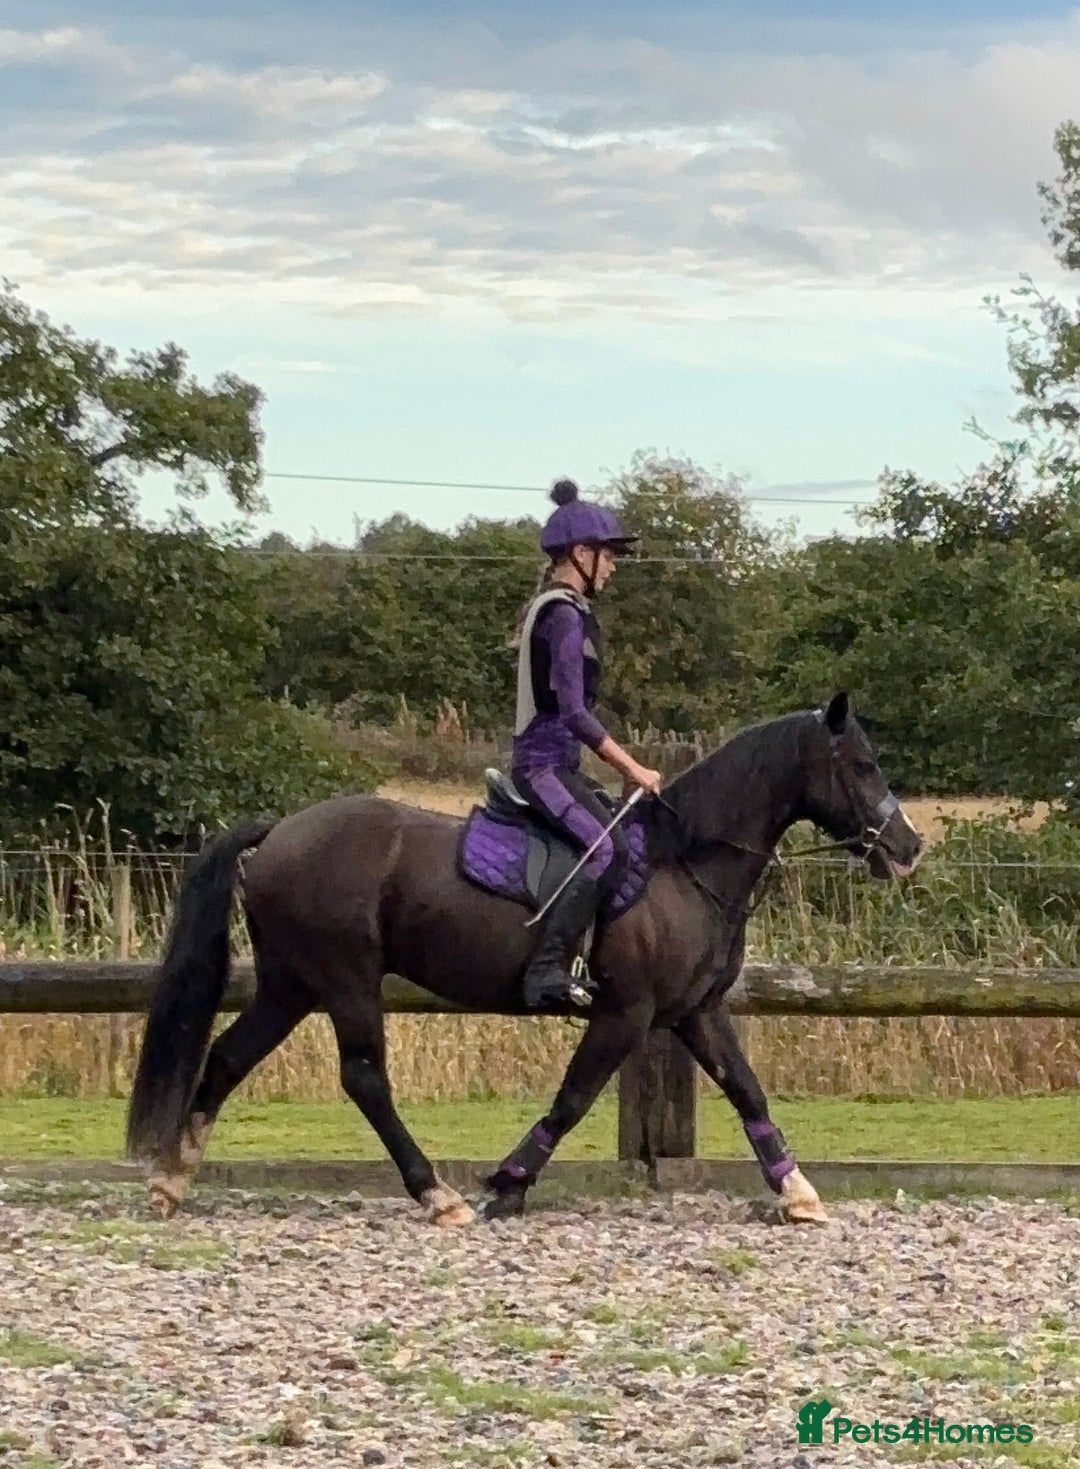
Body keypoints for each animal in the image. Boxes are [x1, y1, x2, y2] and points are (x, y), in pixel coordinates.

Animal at [124, 692, 924, 1227]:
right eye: (862, 765)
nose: (909, 847)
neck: (686, 862)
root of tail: (282, 830)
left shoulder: (694, 1011)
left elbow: (748, 1090)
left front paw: (798, 1192)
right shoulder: (626, 1013)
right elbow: (572, 1098)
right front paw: (506, 1183)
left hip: (292, 982)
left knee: (229, 1056)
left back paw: (172, 1181)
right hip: (344, 979)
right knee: (364, 1078)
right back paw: (438, 1194)